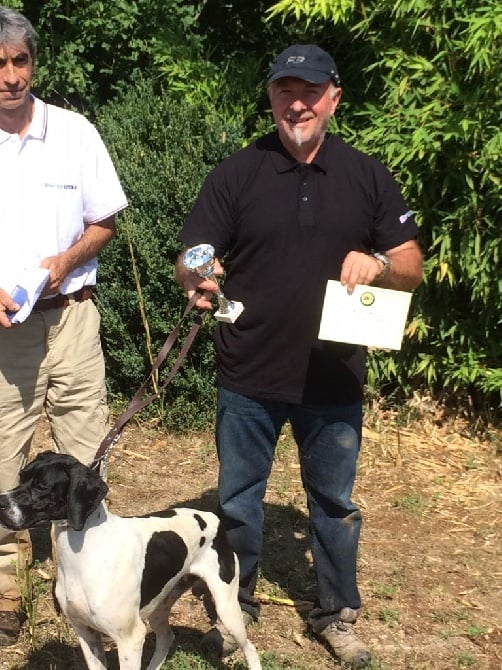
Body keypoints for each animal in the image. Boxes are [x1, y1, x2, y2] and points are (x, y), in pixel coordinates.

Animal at [0, 452, 260, 670]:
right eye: (21, 477)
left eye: (42, 486)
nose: (0, 503)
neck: (85, 550)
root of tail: (212, 518)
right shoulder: (86, 633)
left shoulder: (130, 639)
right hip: (160, 605)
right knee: (166, 638)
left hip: (227, 609)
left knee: (250, 648)